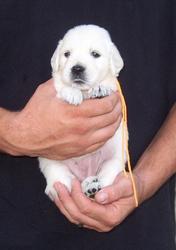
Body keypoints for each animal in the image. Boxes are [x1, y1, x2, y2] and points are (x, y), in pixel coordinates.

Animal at [39, 24, 126, 201]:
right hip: (50, 159)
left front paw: (100, 89)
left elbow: (107, 84)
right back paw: (59, 188)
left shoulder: (114, 86)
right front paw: (72, 93)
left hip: (115, 158)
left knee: (106, 176)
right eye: (67, 54)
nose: (77, 68)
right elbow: (63, 87)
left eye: (95, 54)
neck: (85, 92)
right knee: (60, 176)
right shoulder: (56, 87)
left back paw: (92, 187)